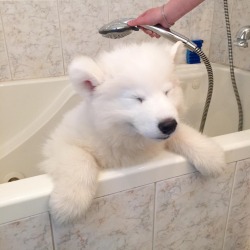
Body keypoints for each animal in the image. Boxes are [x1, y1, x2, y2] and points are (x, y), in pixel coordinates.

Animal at [42, 42, 226, 224]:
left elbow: (186, 134)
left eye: (167, 92)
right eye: (138, 98)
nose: (168, 125)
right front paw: (69, 202)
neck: (128, 139)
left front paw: (212, 156)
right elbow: (80, 159)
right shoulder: (58, 142)